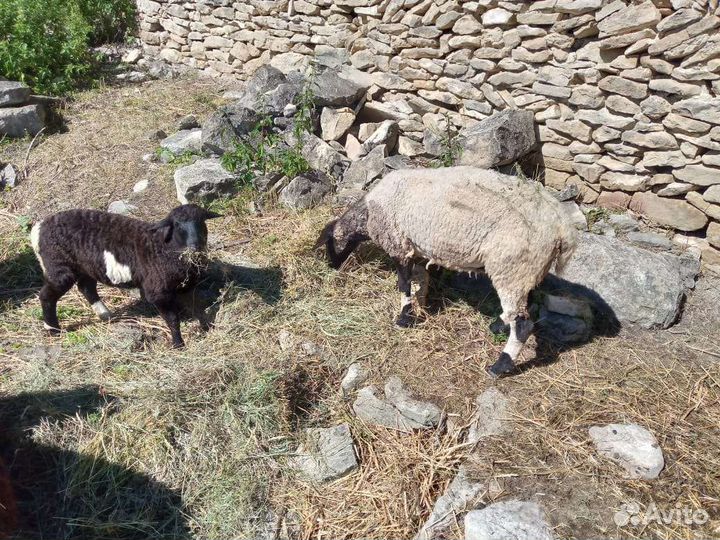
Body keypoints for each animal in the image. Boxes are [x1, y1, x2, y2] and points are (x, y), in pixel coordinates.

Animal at [30, 204, 221, 348]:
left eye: (202, 221)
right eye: (178, 225)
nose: (196, 246)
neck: (162, 248)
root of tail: (39, 228)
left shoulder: (187, 287)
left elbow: (198, 307)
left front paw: (207, 327)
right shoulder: (157, 292)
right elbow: (173, 319)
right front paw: (178, 344)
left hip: (86, 267)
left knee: (86, 287)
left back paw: (105, 315)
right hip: (59, 267)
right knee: (47, 296)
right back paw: (52, 329)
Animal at [317, 166, 577, 378]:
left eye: (328, 246)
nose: (331, 267)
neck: (369, 211)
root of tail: (561, 228)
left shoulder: (399, 244)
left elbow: (403, 284)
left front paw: (403, 318)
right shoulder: (416, 248)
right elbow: (419, 280)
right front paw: (419, 307)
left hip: (512, 267)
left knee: (523, 325)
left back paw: (499, 367)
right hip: (528, 270)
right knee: (525, 306)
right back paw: (498, 325)